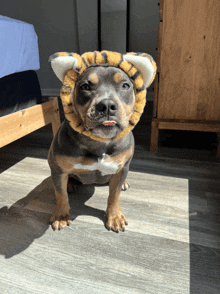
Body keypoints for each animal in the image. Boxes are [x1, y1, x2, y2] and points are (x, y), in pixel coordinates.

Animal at [48, 50, 156, 232]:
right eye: (85, 86)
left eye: (125, 86)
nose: (106, 105)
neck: (99, 142)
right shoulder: (57, 168)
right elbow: (60, 194)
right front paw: (61, 215)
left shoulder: (121, 169)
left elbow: (114, 195)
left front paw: (115, 217)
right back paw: (70, 184)